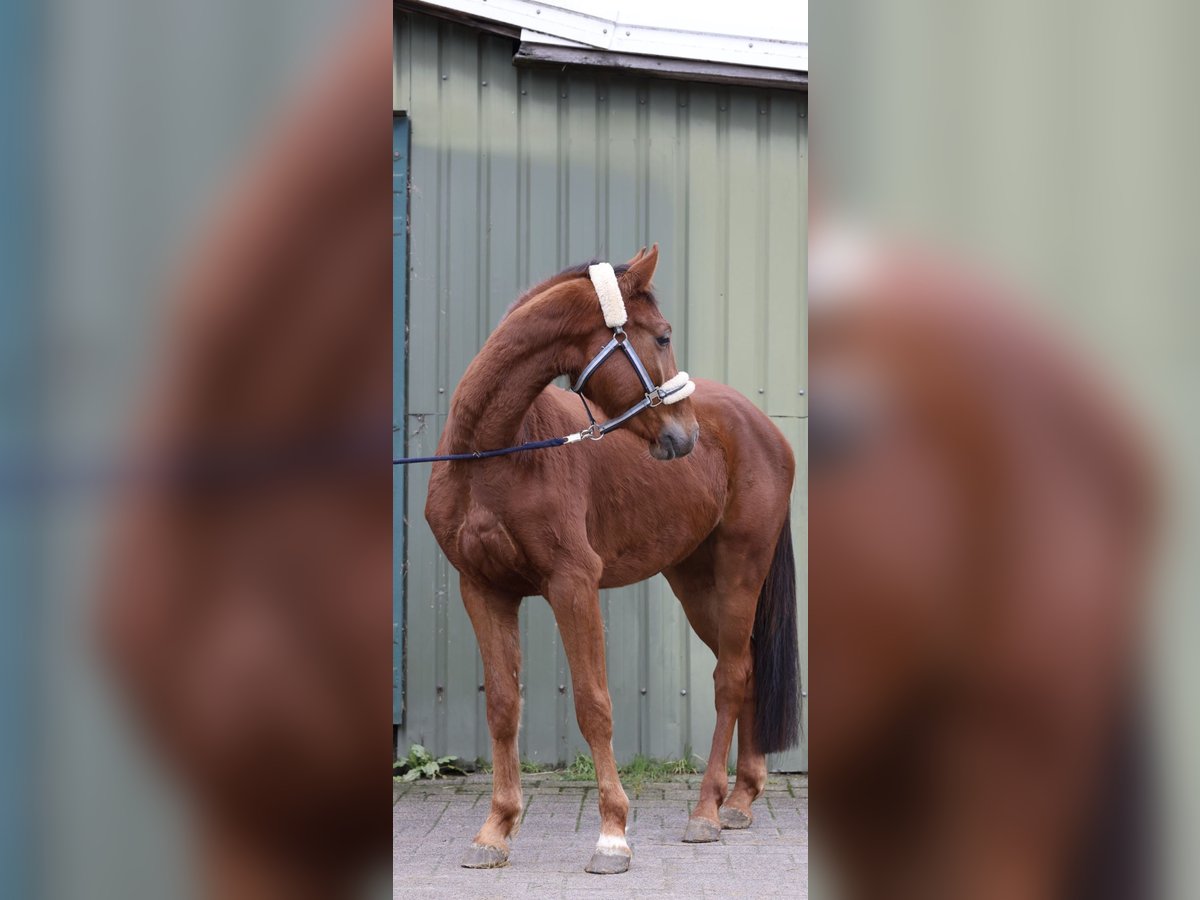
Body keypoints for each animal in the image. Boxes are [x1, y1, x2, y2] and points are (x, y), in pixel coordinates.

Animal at [427, 244, 801, 873]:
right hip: (694, 582)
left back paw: (705, 811)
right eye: (663, 335)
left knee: (730, 677)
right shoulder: (482, 588)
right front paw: (495, 831)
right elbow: (502, 706)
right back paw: (740, 800)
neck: (495, 454)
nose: (685, 436)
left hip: (740, 571)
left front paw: (611, 835)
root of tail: (766, 431)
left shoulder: (572, 584)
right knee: (746, 667)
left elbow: (593, 704)